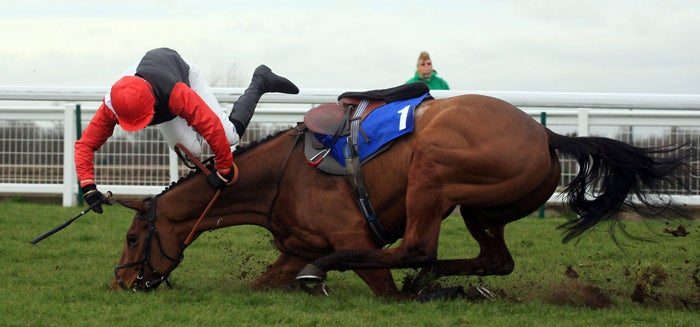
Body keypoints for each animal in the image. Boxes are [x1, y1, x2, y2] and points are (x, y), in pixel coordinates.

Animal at [110, 92, 688, 300]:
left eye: (134, 236)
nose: (121, 282)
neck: (280, 175)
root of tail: (547, 134)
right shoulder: (293, 249)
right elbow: (263, 282)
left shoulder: (350, 238)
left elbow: (378, 277)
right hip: (483, 208)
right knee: (493, 261)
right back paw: (445, 283)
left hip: (433, 171)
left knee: (418, 248)